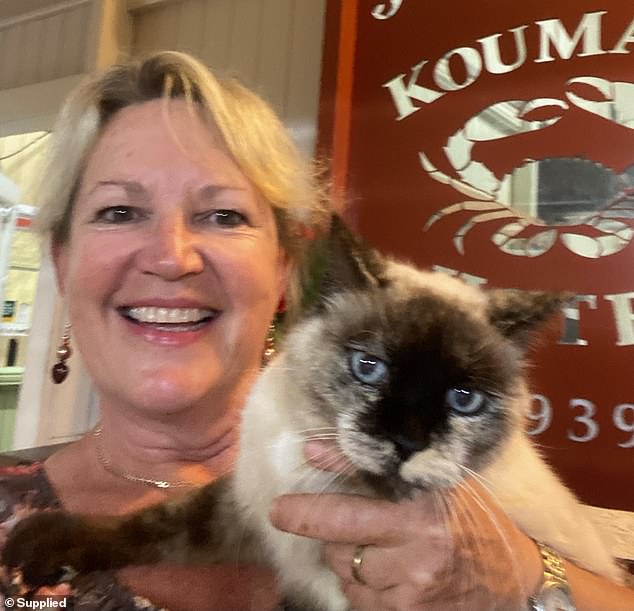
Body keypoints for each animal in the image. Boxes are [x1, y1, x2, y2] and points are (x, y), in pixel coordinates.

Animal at [1, 218, 624, 608]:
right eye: (369, 367)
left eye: (462, 400)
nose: (407, 442)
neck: (313, 472)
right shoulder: (248, 507)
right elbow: (151, 521)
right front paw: (38, 549)